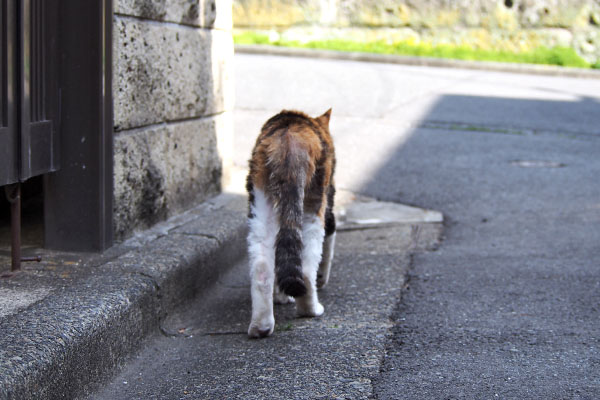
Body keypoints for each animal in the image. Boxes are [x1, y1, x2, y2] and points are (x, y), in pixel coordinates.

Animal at [245, 108, 338, 338]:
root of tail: (288, 140)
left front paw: (280, 297)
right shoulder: (329, 207)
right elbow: (328, 248)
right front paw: (322, 279)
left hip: (260, 200)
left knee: (262, 265)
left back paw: (261, 326)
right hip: (314, 203)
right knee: (305, 268)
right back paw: (311, 309)